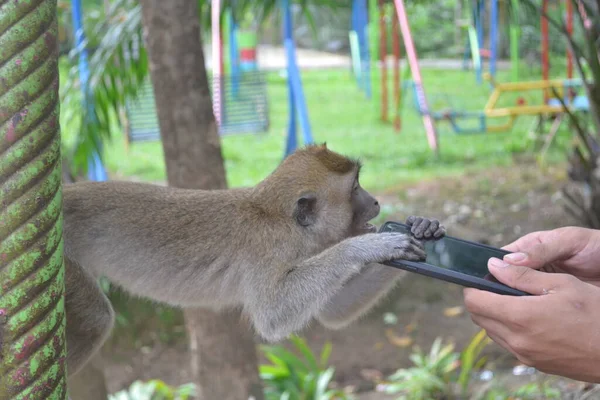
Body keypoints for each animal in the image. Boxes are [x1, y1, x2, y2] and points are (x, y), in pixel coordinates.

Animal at [61, 145, 446, 378]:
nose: (377, 202)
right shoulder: (269, 251)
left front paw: (420, 228)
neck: (279, 218)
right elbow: (273, 314)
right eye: (355, 189)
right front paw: (369, 246)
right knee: (95, 319)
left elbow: (333, 312)